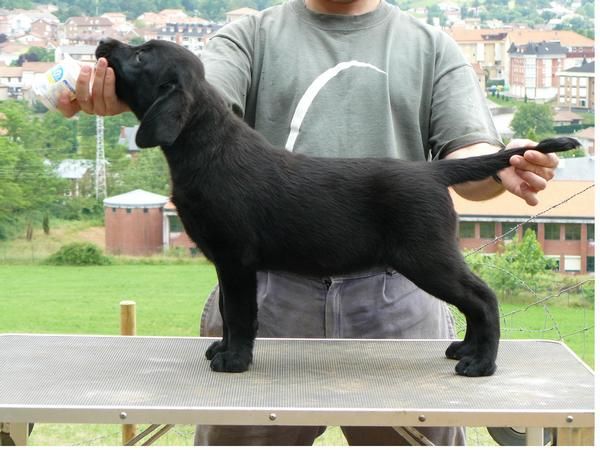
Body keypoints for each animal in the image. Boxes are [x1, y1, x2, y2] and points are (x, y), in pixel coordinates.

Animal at [96, 37, 580, 376]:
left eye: (140, 56)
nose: (103, 43)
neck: (205, 146)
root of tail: (431, 172)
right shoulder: (225, 261)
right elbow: (232, 317)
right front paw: (223, 348)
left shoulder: (236, 259)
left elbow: (240, 314)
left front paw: (234, 361)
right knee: (475, 302)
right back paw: (466, 349)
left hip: (427, 256)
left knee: (483, 297)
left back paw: (482, 364)